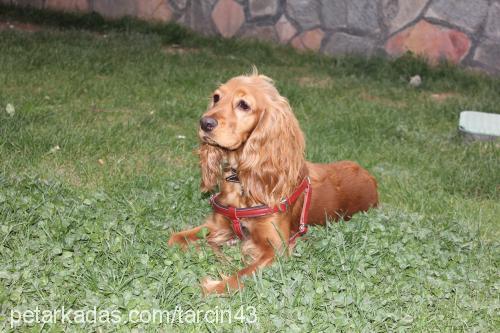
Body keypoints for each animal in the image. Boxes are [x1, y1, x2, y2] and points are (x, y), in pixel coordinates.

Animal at [168, 70, 378, 294]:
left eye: (244, 105)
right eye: (216, 97)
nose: (204, 123)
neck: (242, 181)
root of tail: (371, 179)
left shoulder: (276, 249)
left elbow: (240, 276)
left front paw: (213, 285)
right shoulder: (217, 223)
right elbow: (174, 238)